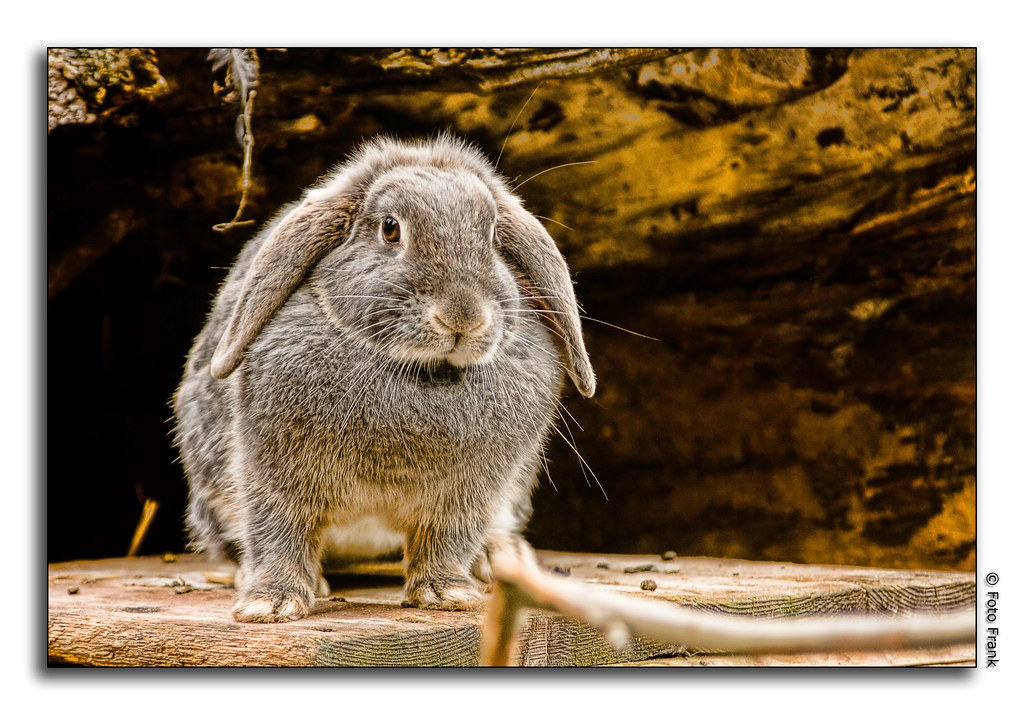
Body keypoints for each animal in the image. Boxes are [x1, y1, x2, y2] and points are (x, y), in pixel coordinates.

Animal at [173, 134, 596, 623]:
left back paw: (499, 560)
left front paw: (447, 594)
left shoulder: (467, 495)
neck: (421, 369)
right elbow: (279, 533)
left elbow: (446, 540)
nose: (463, 317)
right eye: (391, 229)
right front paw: (271, 603)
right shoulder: (271, 475)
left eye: (492, 235)